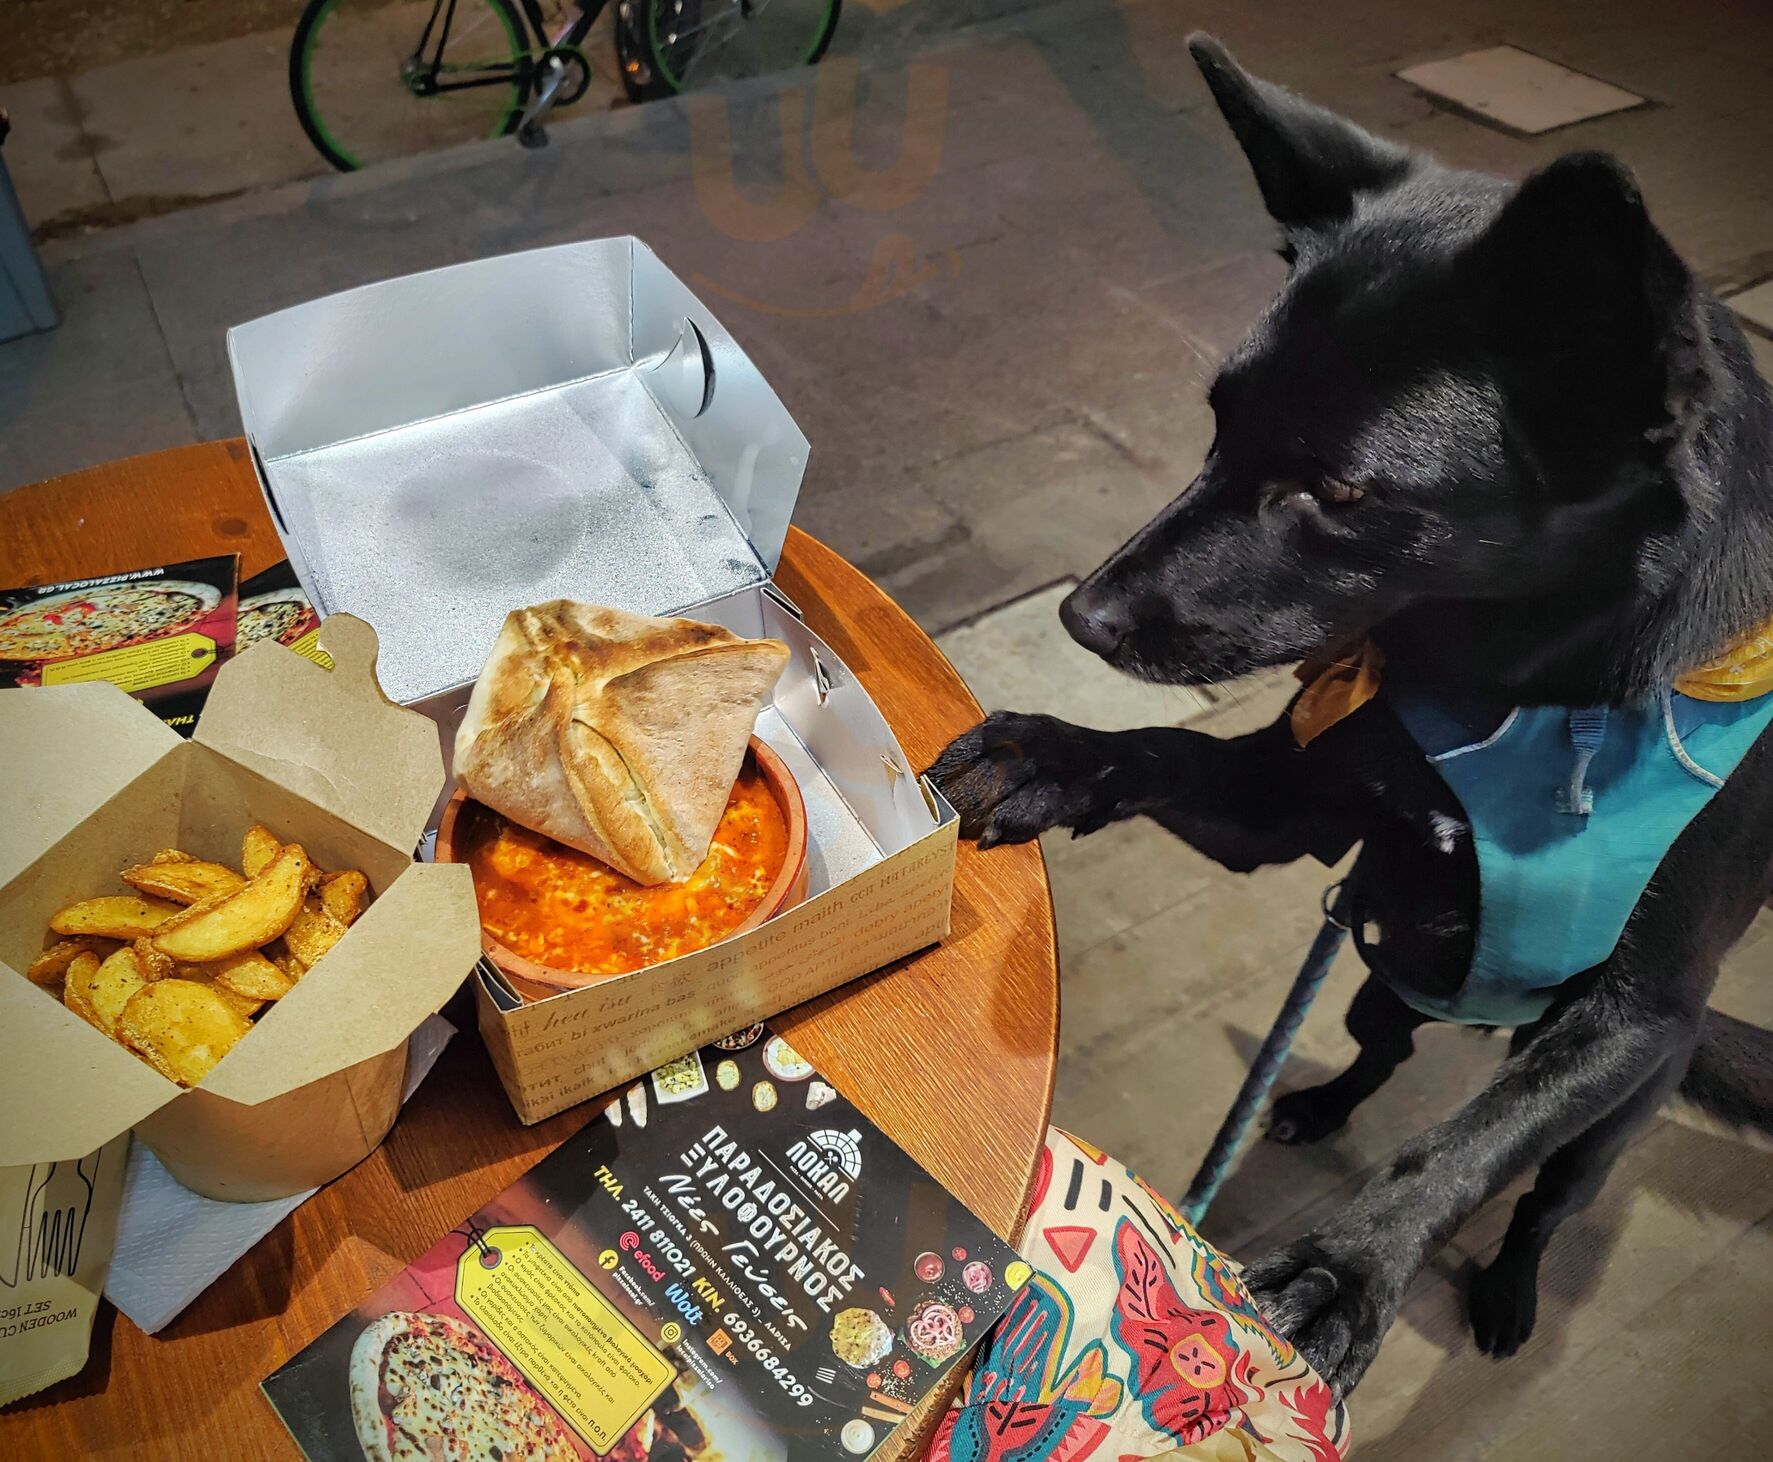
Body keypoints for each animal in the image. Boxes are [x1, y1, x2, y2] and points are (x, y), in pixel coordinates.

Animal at [928, 35, 1773, 1399]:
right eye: (1215, 425)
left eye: (1337, 493)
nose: (1083, 618)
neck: (1518, 691)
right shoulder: (1294, 812)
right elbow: (1167, 753)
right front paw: (1047, 753)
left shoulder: (1634, 1014)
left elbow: (1468, 1145)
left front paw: (1350, 1266)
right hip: (1385, 967)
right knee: (1386, 1047)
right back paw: (1317, 1100)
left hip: (1623, 1104)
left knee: (1541, 1190)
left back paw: (1507, 1285)